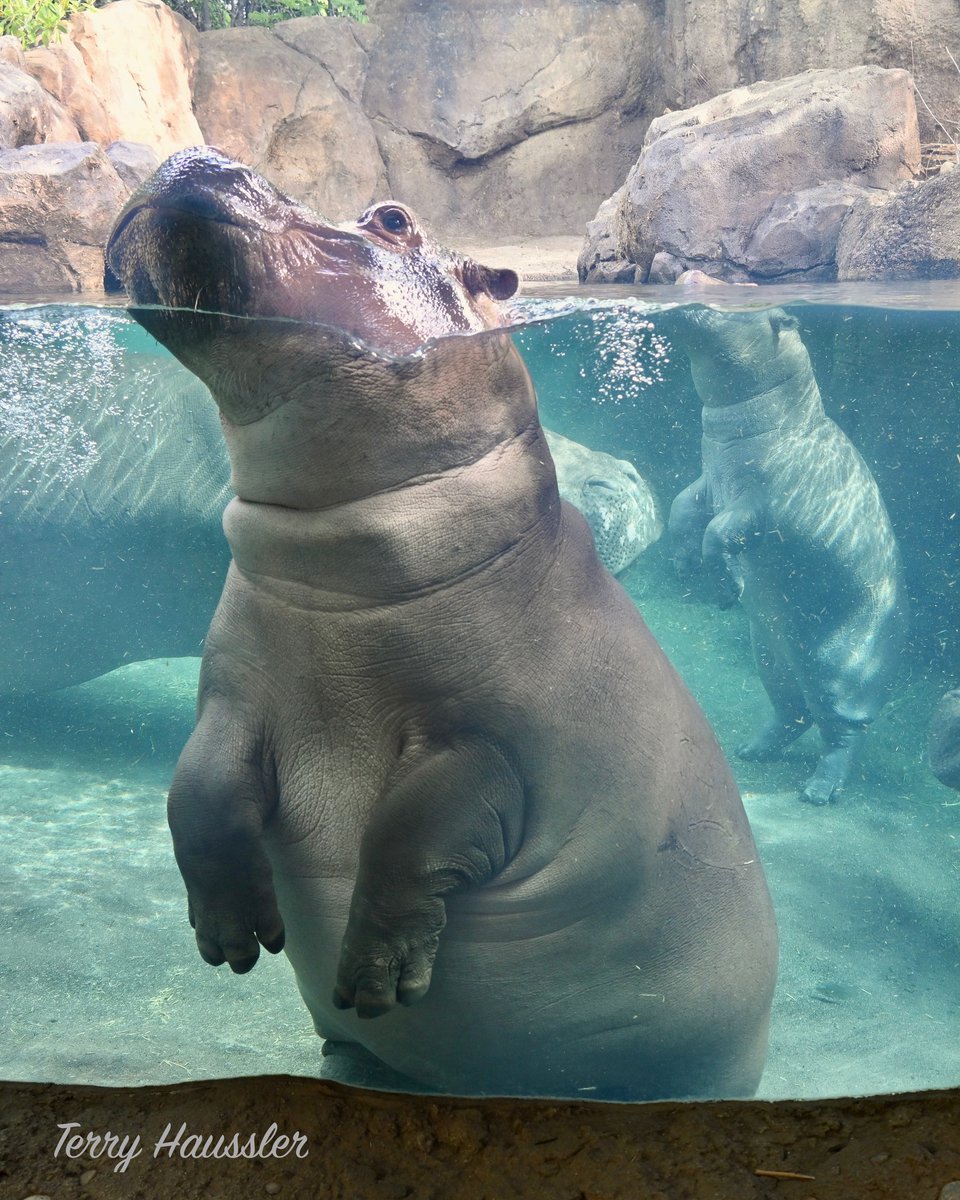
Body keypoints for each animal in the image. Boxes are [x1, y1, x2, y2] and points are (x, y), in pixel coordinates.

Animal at [105, 146, 777, 1101]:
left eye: (393, 219)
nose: (193, 152)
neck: (339, 559)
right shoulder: (232, 702)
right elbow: (192, 794)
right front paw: (231, 941)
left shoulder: (492, 745)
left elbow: (407, 837)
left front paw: (375, 978)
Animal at [663, 285, 907, 806]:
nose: (683, 289)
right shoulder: (708, 481)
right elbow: (681, 508)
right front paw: (682, 566)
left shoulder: (761, 504)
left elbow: (718, 531)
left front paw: (724, 592)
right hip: (772, 656)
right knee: (794, 711)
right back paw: (751, 750)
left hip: (841, 670)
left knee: (843, 732)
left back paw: (818, 792)